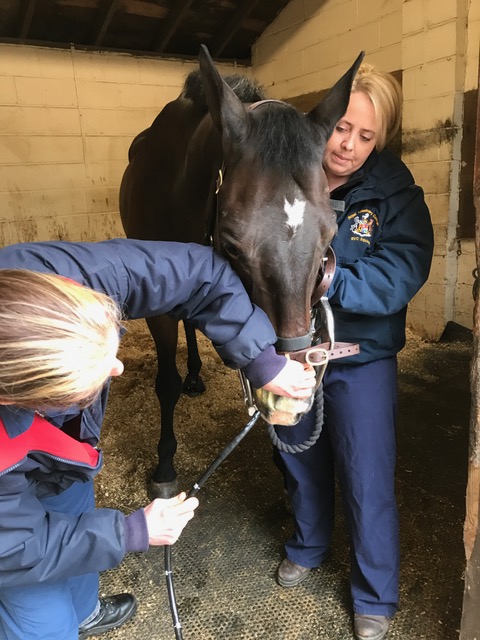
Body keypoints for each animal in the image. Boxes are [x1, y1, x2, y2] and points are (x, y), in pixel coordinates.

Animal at [120, 46, 364, 500]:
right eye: (232, 244)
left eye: (330, 235)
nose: (289, 399)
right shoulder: (159, 310)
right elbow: (166, 383)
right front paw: (164, 466)